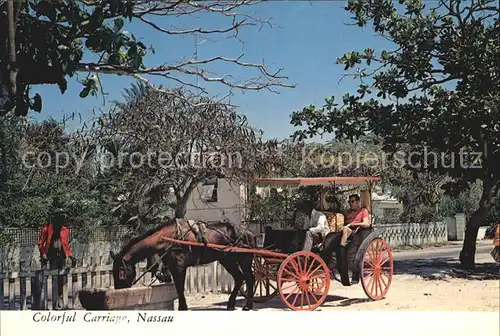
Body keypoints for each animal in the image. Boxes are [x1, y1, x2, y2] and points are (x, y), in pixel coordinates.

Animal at [110, 219, 258, 312]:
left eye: (121, 271)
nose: (118, 289)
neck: (169, 238)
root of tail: (249, 232)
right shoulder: (173, 267)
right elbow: (178, 287)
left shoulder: (179, 267)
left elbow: (180, 288)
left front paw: (182, 307)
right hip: (227, 260)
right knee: (239, 278)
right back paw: (231, 304)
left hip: (244, 260)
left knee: (249, 278)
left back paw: (248, 305)